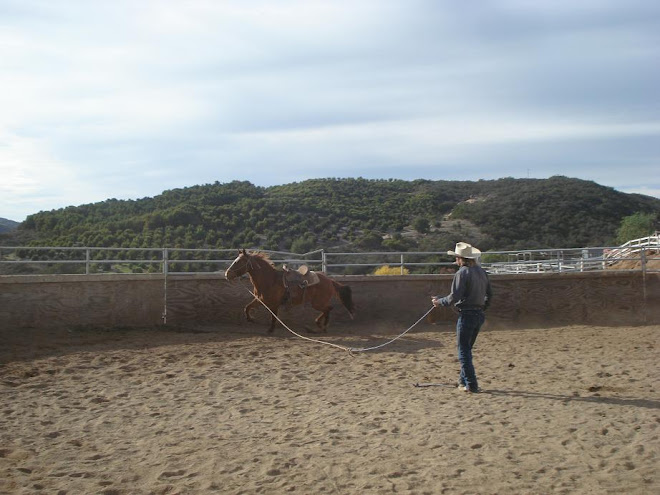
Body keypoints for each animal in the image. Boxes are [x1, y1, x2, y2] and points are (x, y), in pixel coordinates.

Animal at [224, 250, 356, 336]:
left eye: (238, 262)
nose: (227, 274)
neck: (270, 280)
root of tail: (329, 280)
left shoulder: (274, 304)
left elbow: (273, 317)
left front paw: (270, 330)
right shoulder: (260, 300)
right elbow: (247, 307)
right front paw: (250, 319)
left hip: (318, 303)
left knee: (329, 308)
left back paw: (322, 326)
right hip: (318, 303)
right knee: (327, 309)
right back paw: (317, 326)